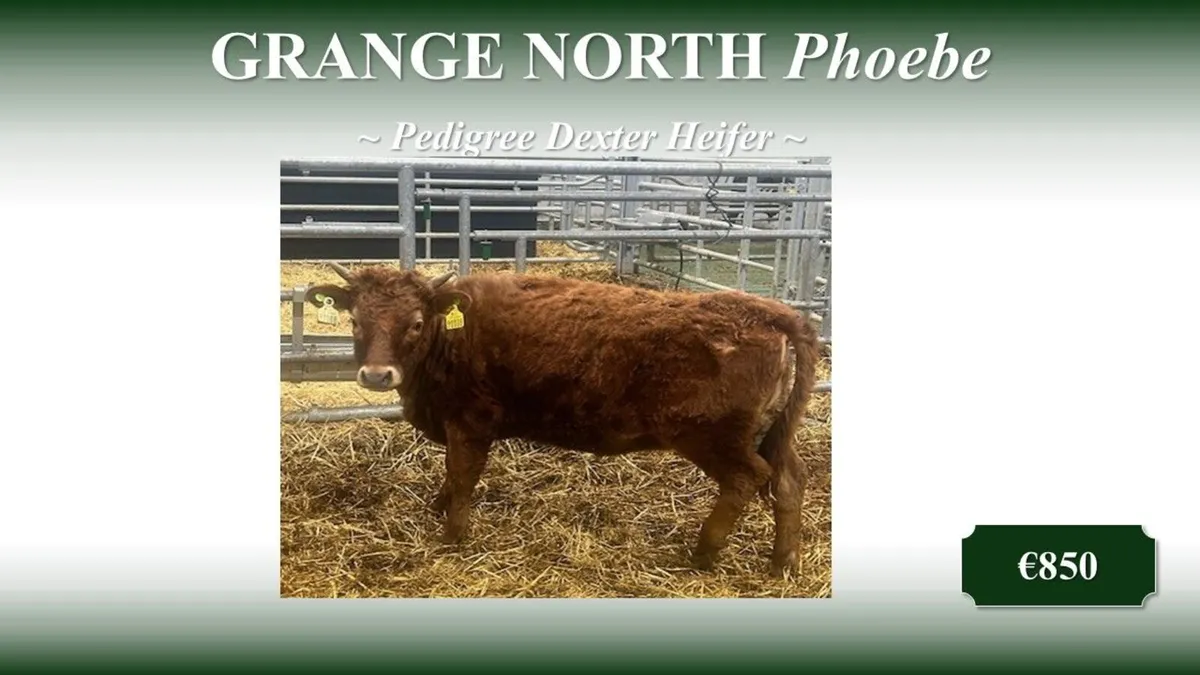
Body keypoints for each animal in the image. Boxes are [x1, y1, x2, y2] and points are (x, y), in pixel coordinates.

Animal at [305, 262, 821, 577]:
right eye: (355, 321)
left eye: (415, 323)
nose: (377, 374)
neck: (452, 336)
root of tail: (769, 311)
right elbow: (450, 478)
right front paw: (438, 509)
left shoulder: (471, 422)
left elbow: (462, 475)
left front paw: (452, 535)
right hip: (770, 433)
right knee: (789, 480)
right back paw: (784, 561)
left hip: (715, 439)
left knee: (747, 479)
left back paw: (704, 551)